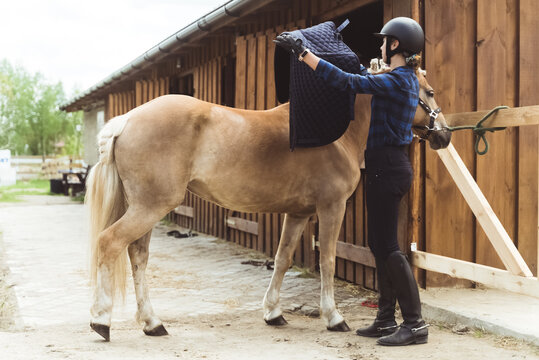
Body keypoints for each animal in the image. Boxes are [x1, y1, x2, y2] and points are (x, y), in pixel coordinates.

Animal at [86, 67, 452, 340]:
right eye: (430, 91)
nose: (444, 134)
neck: (334, 132)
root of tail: (127, 120)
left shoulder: (298, 213)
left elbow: (282, 258)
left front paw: (273, 312)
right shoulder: (331, 208)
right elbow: (328, 261)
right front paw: (333, 317)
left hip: (147, 208)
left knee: (138, 255)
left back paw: (152, 323)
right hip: (150, 207)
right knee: (109, 243)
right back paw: (102, 321)